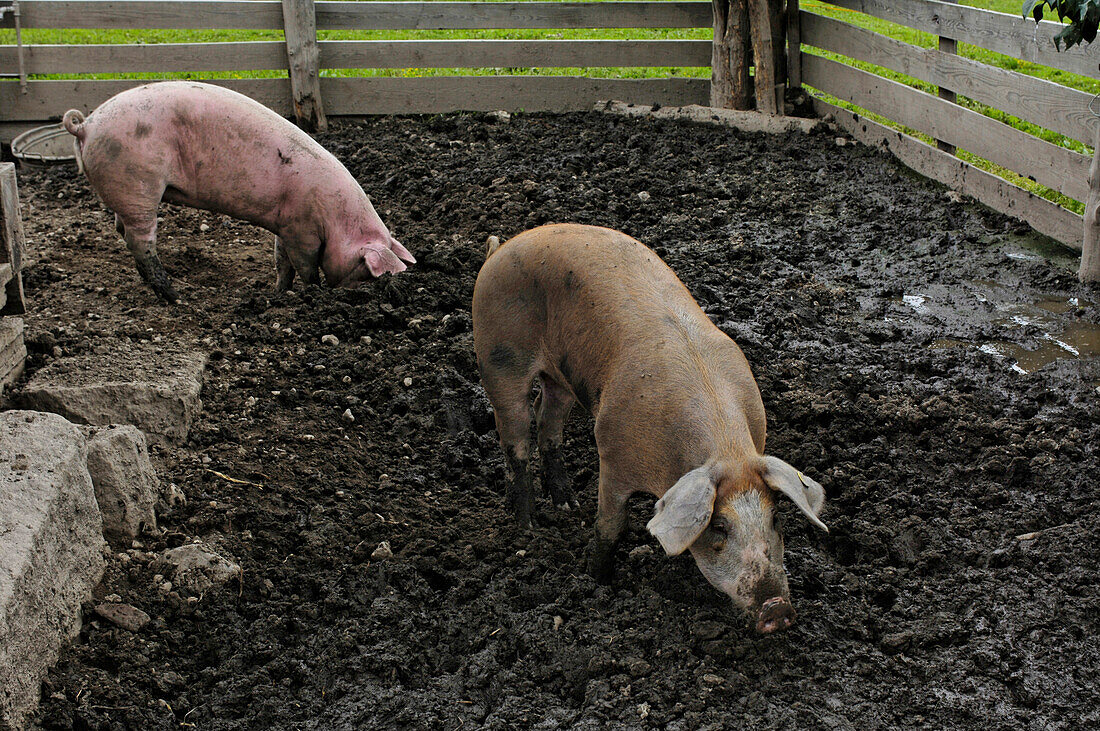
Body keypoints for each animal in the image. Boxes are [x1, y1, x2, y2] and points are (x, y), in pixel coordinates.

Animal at [65, 82, 415, 301]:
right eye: (367, 272)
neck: (336, 219)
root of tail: (86, 125)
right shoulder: (302, 229)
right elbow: (305, 266)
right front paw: (315, 294)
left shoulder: (286, 225)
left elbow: (281, 261)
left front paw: (279, 294)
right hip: (137, 184)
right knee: (141, 241)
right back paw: (175, 296)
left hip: (127, 191)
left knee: (122, 230)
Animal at [473, 224, 827, 633]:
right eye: (719, 526)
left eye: (776, 518)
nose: (777, 609)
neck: (725, 450)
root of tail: (501, 248)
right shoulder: (612, 455)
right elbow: (610, 526)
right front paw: (595, 578)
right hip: (499, 360)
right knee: (515, 438)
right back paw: (529, 524)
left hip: (561, 378)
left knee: (548, 421)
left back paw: (566, 504)